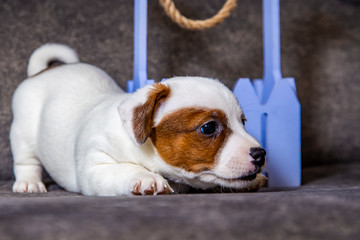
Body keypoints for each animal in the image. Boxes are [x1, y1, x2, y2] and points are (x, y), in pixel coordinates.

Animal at [9, 44, 266, 196]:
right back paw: (29, 184)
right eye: (209, 127)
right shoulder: (95, 168)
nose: (261, 154)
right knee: (26, 162)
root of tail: (41, 72)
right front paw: (146, 177)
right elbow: (124, 168)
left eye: (243, 122)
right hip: (23, 133)